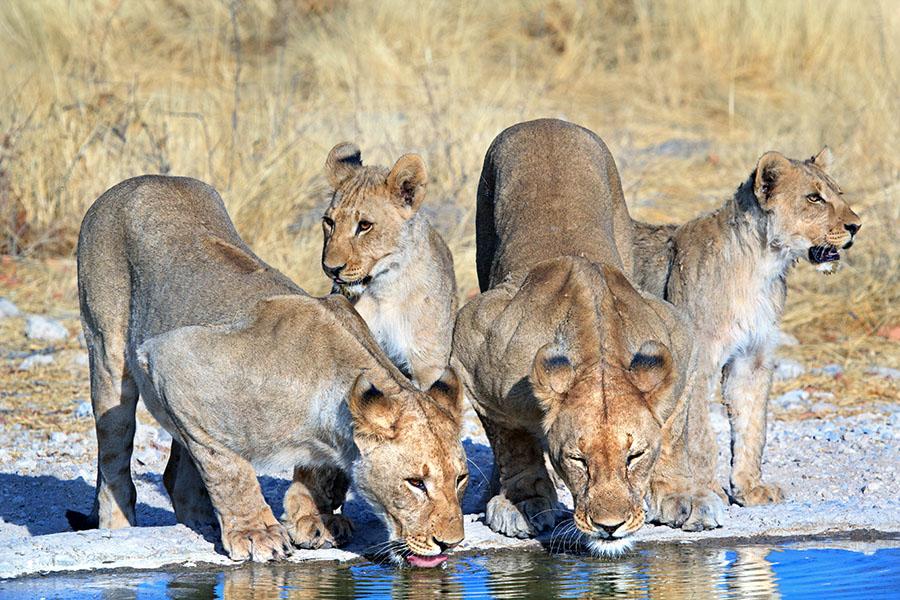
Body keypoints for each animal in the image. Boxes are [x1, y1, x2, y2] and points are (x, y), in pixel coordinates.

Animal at [69, 175, 469, 566]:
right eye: (416, 482)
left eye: (460, 479)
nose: (450, 543)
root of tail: (136, 182)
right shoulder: (171, 356)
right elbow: (228, 465)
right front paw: (255, 532)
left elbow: (318, 470)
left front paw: (314, 519)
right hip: (108, 352)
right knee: (115, 458)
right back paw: (119, 527)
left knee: (177, 475)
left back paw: (200, 520)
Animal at [452, 119, 723, 556]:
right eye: (578, 460)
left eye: (634, 456)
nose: (609, 526)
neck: (595, 353)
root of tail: (545, 121)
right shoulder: (472, 343)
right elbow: (512, 440)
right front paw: (523, 502)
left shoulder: (677, 334)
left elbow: (674, 429)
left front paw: (683, 496)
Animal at [631, 147, 861, 506]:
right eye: (814, 198)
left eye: (839, 193)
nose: (856, 226)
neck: (762, 267)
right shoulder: (698, 361)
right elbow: (698, 433)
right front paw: (705, 489)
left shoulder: (752, 358)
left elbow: (752, 426)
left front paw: (750, 488)